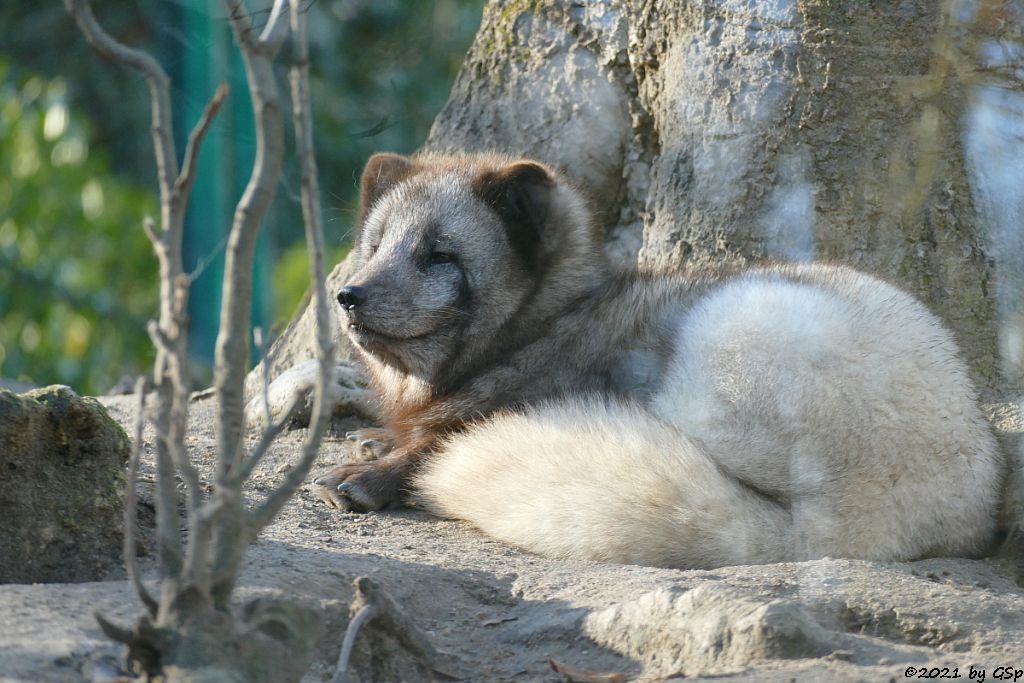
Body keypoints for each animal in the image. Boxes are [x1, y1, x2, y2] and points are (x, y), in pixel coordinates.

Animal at [309, 152, 999, 569]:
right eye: (376, 246)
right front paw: (377, 441)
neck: (548, 322)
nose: (349, 296)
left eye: (440, 256)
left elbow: (438, 440)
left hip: (725, 331)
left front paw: (368, 473)